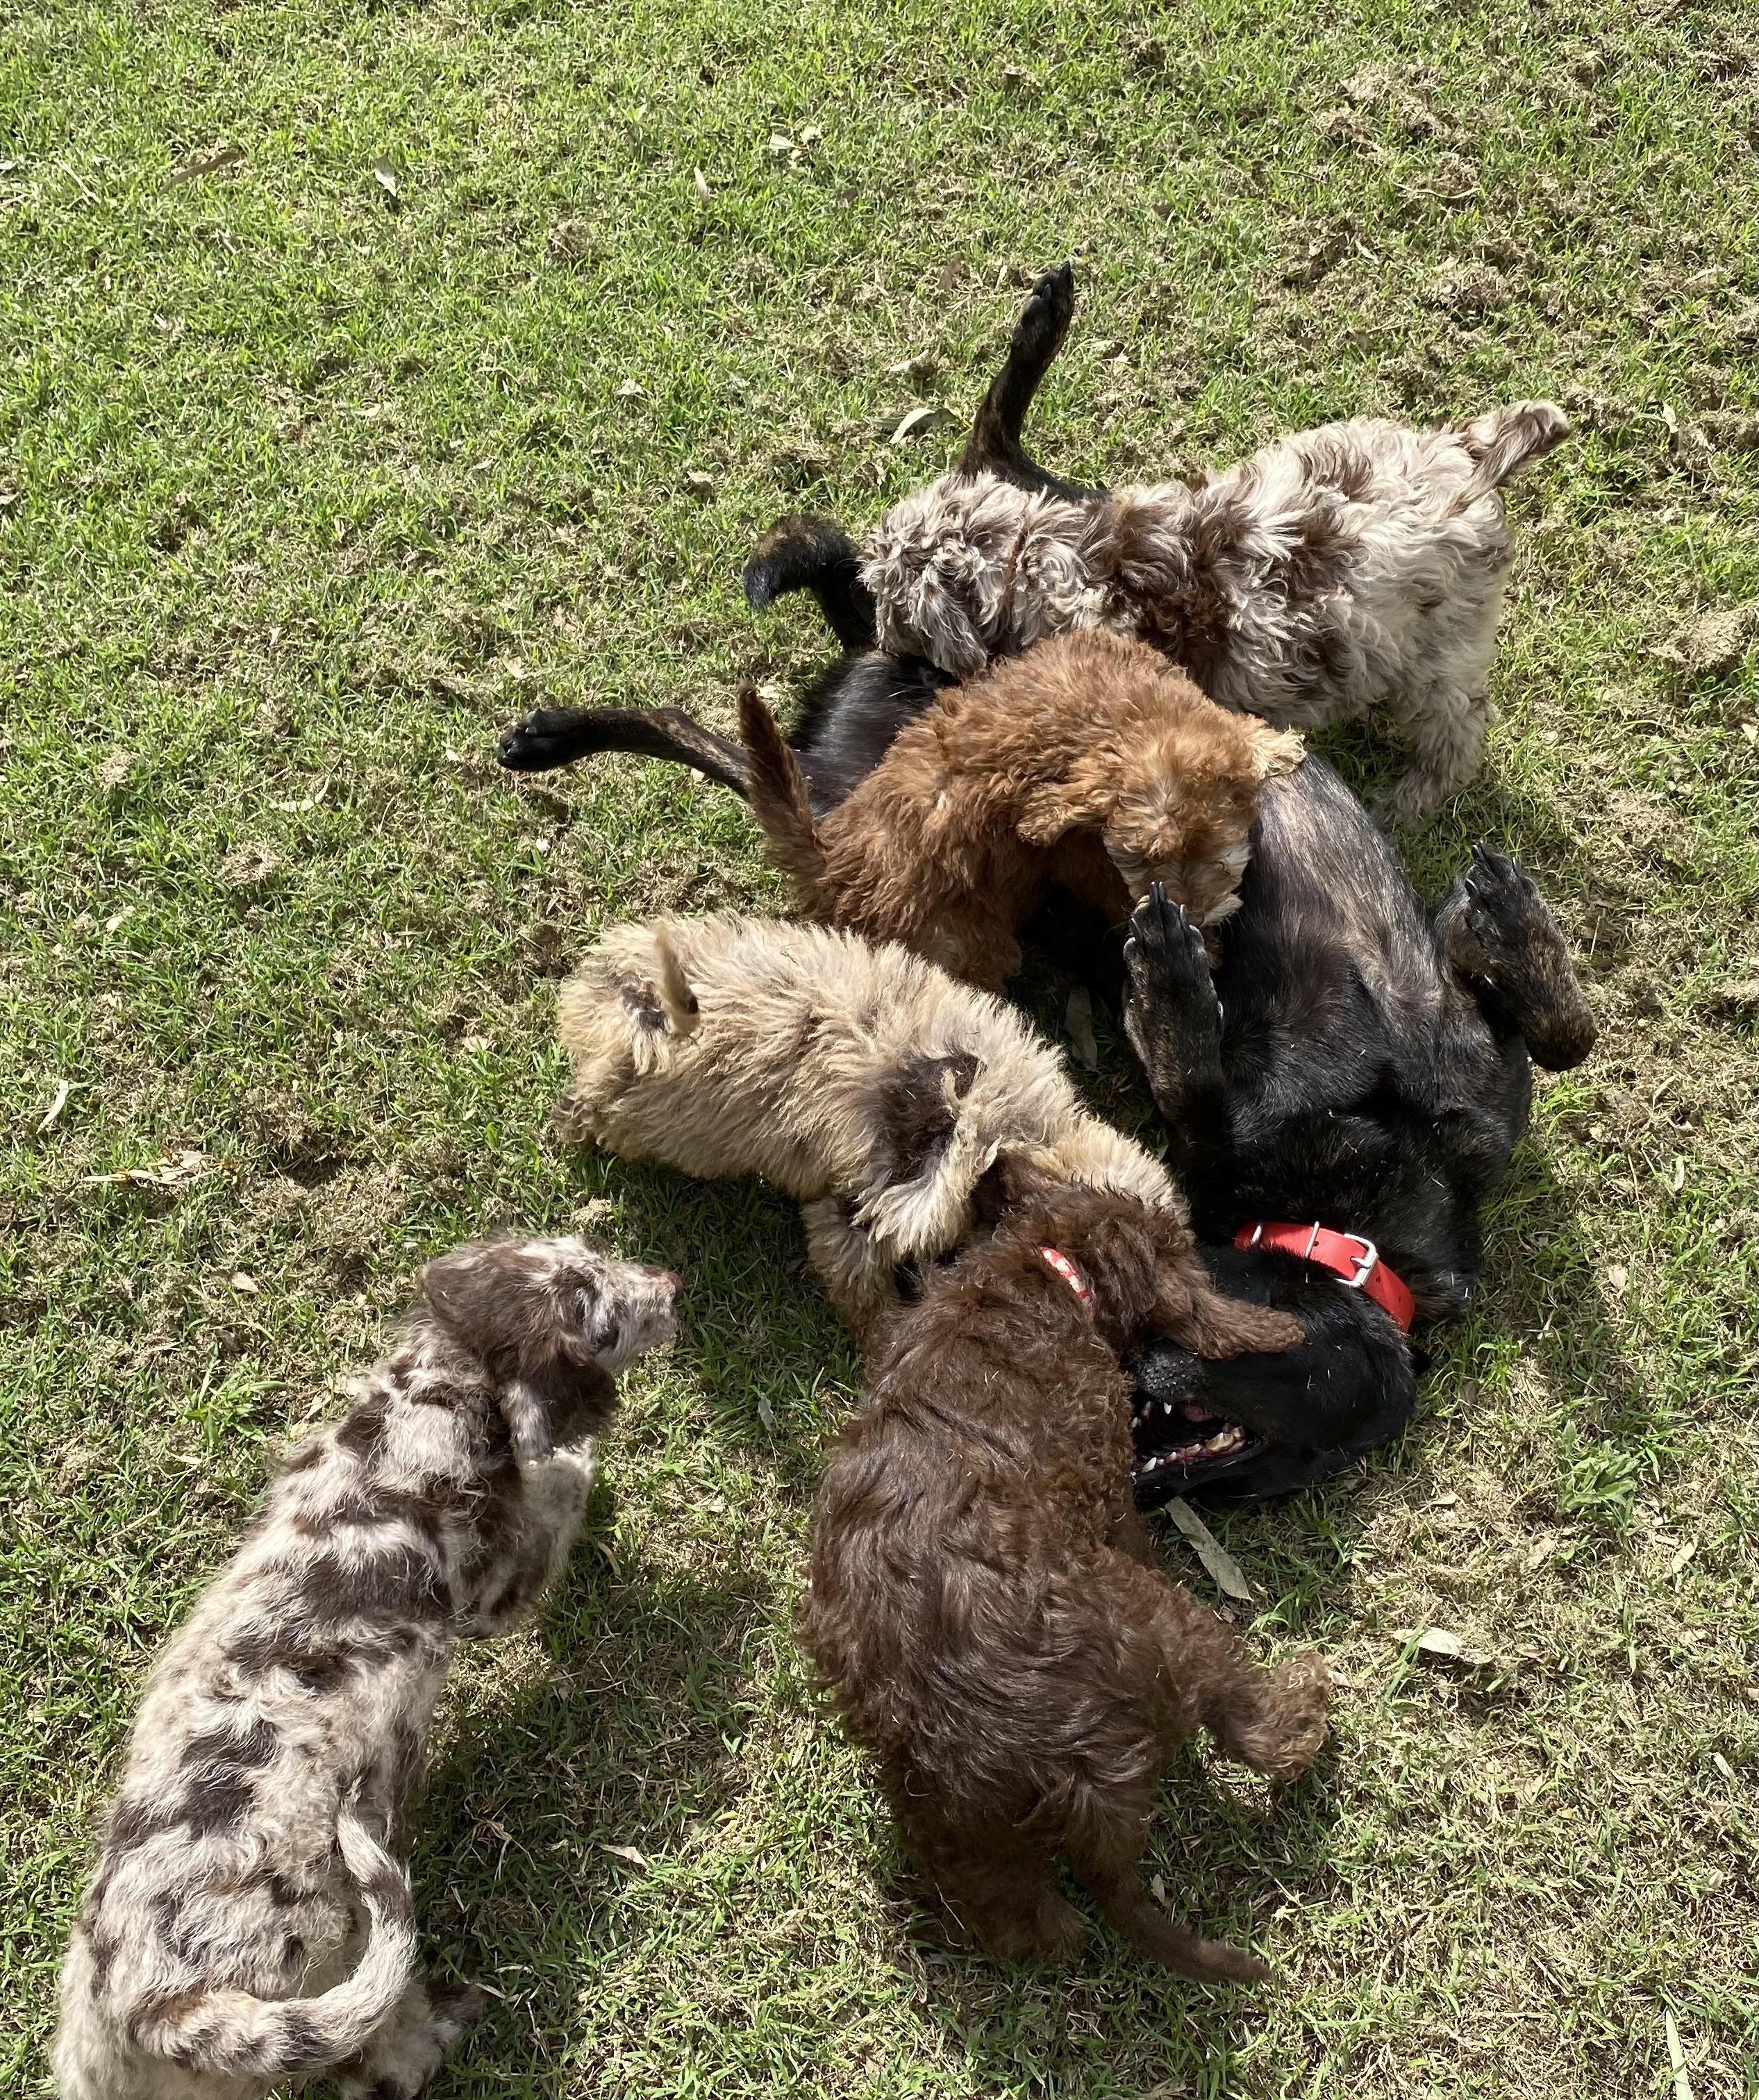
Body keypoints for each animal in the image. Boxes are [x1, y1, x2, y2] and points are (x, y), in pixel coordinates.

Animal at [56, 1235, 679, 2100]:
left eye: (591, 1251)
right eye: (605, 1317)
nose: (673, 1284)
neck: (416, 1409)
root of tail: (159, 2002)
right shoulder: (493, 1586)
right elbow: (556, 1495)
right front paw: (586, 1464)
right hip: (342, 1954)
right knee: (380, 2060)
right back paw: (449, 2017)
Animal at [740, 628, 1302, 988]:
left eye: (1220, 855)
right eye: (1141, 860)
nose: (1194, 916)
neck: (1127, 719)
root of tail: (829, 863)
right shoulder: (1079, 857)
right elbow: (1111, 894)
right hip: (966, 942)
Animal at [800, 1180, 1331, 1979]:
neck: (1046, 1270)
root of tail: (1073, 1773)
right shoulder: (1108, 1488)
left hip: (954, 1820)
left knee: (1017, 1914)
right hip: (1172, 1624)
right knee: (1253, 1728)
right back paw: (1309, 1709)